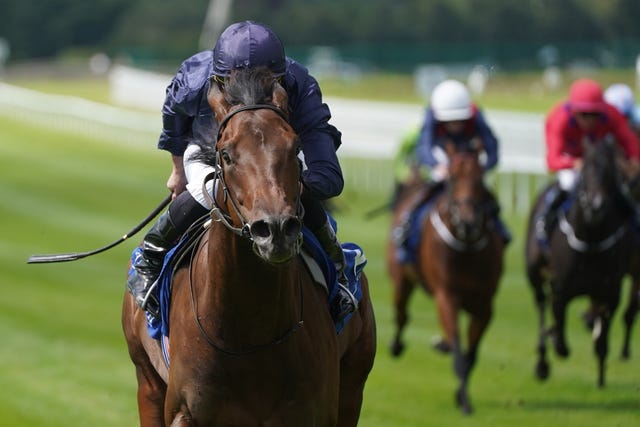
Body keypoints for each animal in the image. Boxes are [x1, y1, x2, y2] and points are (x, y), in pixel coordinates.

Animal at [121, 68, 376, 426]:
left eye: (294, 147)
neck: (249, 334)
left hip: (353, 383)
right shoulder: (185, 411)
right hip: (147, 382)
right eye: (227, 154)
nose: (275, 229)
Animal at [384, 143, 504, 414]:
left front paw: (462, 396)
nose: (468, 222)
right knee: (401, 314)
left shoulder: (485, 306)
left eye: (479, 179)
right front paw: (465, 401)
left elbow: (470, 355)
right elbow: (457, 347)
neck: (467, 250)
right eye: (452, 179)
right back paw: (396, 345)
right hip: (401, 280)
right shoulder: (446, 295)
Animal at [524, 137, 636, 388]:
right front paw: (554, 337)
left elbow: (603, 340)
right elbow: (560, 341)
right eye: (585, 169)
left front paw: (602, 376)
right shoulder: (560, 290)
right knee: (541, 308)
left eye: (610, 172)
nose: (596, 206)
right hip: (535, 276)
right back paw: (542, 362)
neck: (591, 238)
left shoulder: (609, 292)